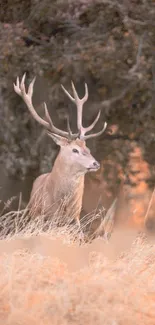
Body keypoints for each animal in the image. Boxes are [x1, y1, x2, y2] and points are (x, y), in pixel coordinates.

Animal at [13, 73, 106, 230]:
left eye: (87, 148)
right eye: (75, 150)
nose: (96, 163)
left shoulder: (75, 219)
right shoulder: (43, 216)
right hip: (33, 213)